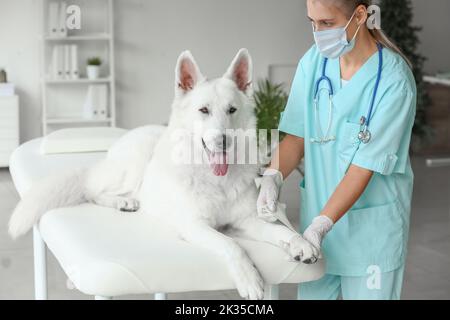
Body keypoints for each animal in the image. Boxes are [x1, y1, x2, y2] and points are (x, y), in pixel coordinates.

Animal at [7, 48, 316, 298]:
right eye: (203, 110)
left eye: (232, 110)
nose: (223, 141)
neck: (215, 180)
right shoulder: (194, 226)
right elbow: (232, 246)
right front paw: (250, 279)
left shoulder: (247, 221)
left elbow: (279, 231)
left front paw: (300, 243)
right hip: (135, 161)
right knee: (93, 191)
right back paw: (125, 201)